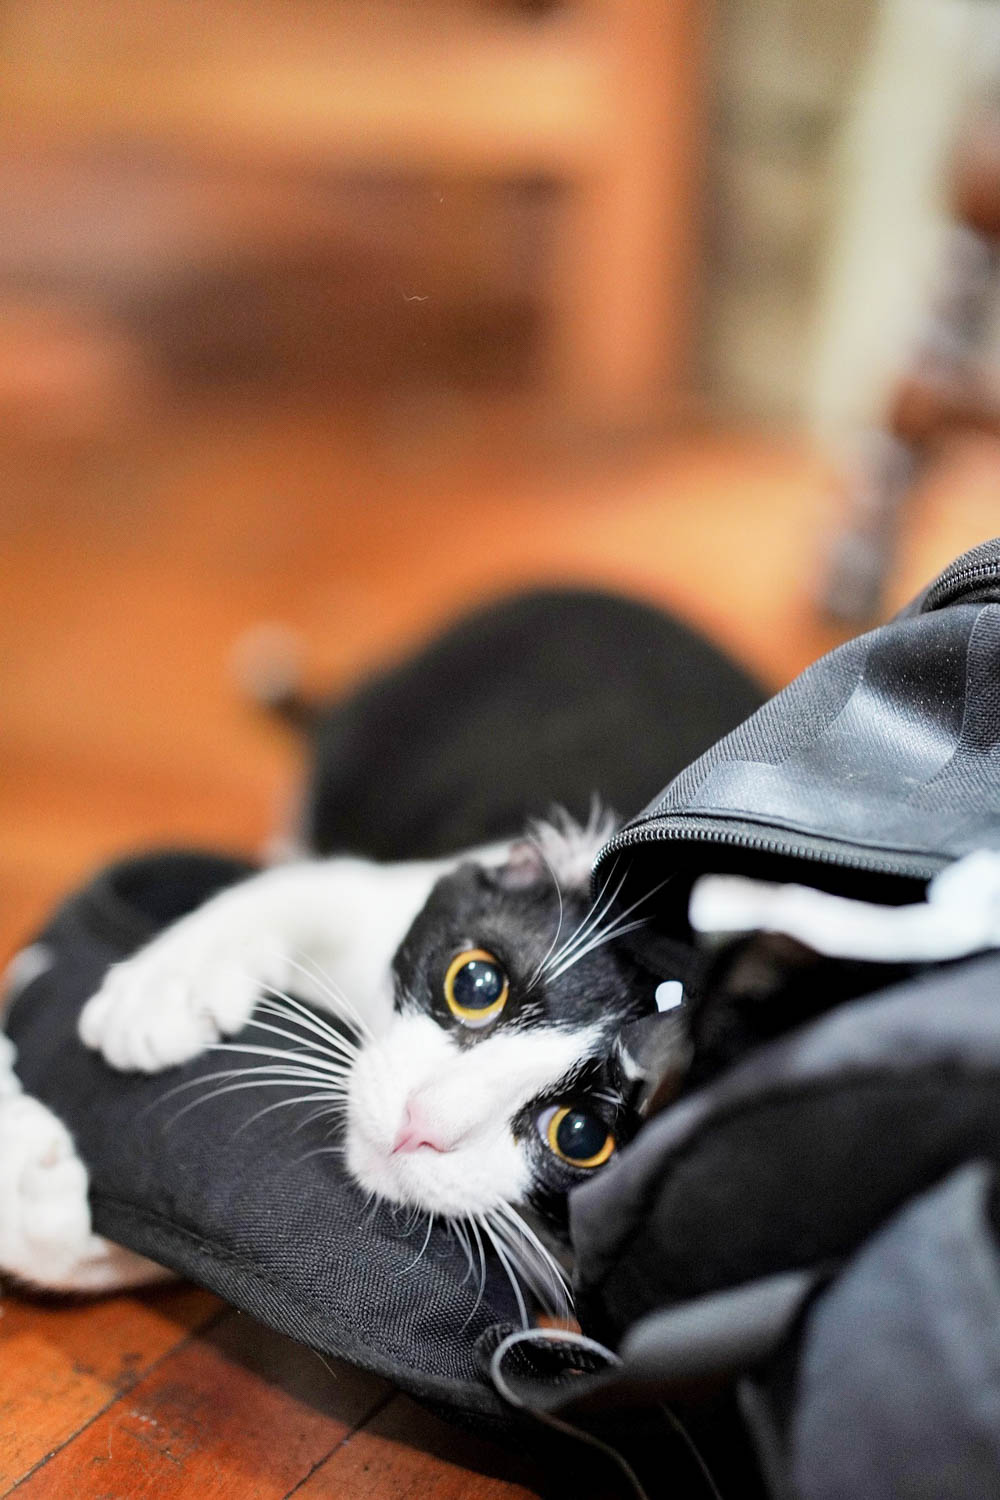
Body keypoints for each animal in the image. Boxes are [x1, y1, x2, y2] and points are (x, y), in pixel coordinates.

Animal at [1, 810, 671, 1314]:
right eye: (477, 984)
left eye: (580, 1135)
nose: (420, 1124)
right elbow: (317, 887)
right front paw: (161, 991)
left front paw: (33, 1194)